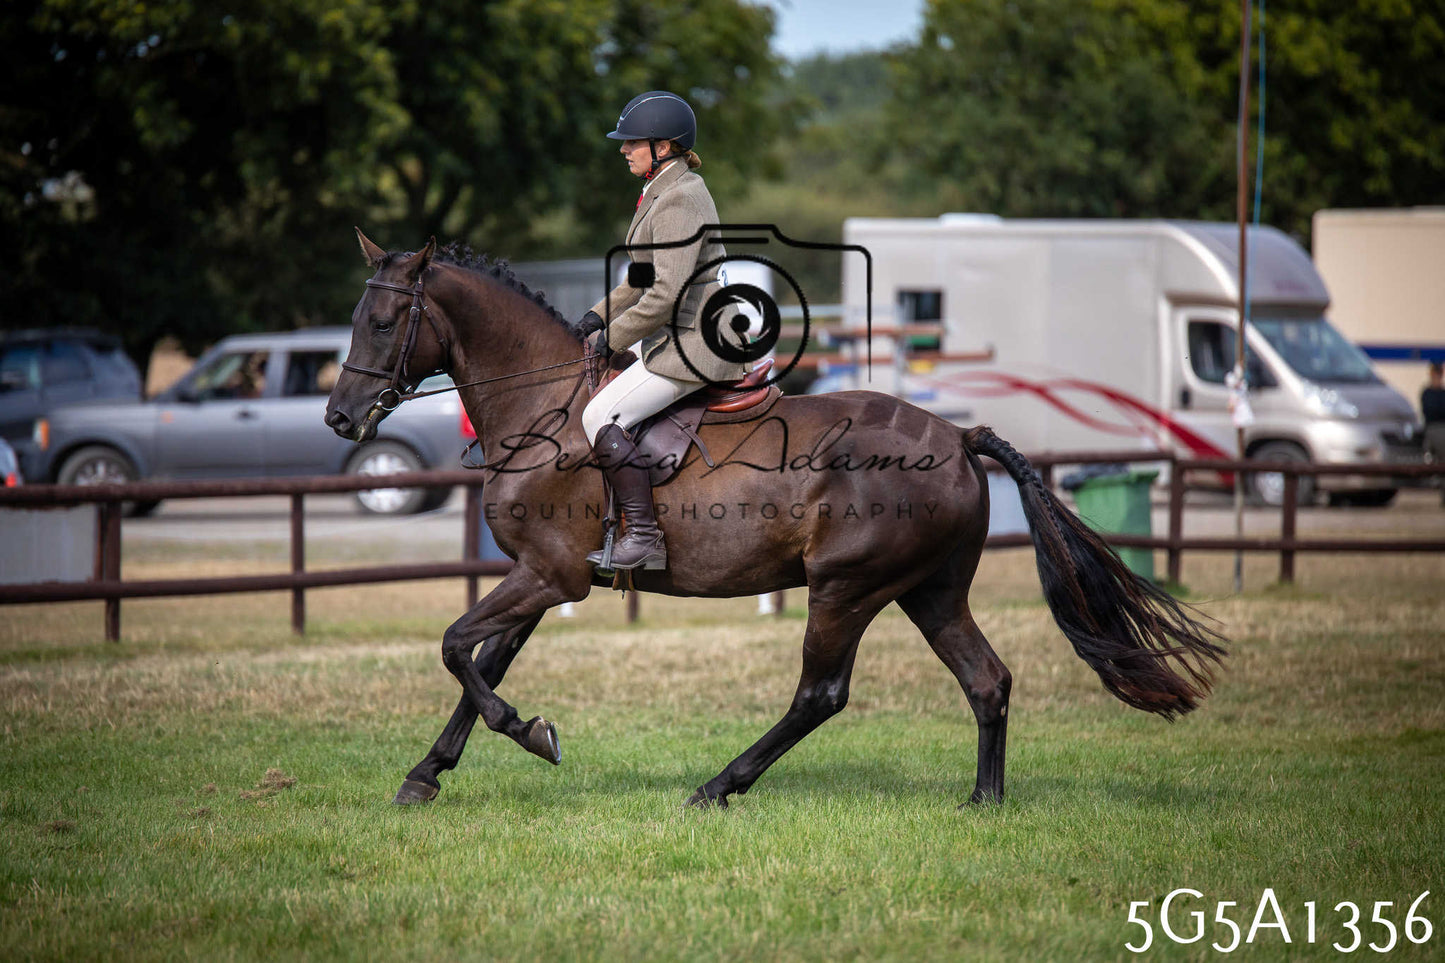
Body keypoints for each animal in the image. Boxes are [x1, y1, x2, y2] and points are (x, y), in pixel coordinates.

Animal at [324, 232, 1226, 809]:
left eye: (382, 321)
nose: (340, 418)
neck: (542, 402)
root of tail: (955, 436)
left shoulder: (547, 573)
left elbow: (457, 649)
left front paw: (529, 732)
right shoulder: (543, 578)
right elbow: (484, 662)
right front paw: (427, 773)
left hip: (844, 587)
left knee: (820, 693)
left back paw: (718, 786)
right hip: (929, 590)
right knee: (986, 680)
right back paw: (983, 800)